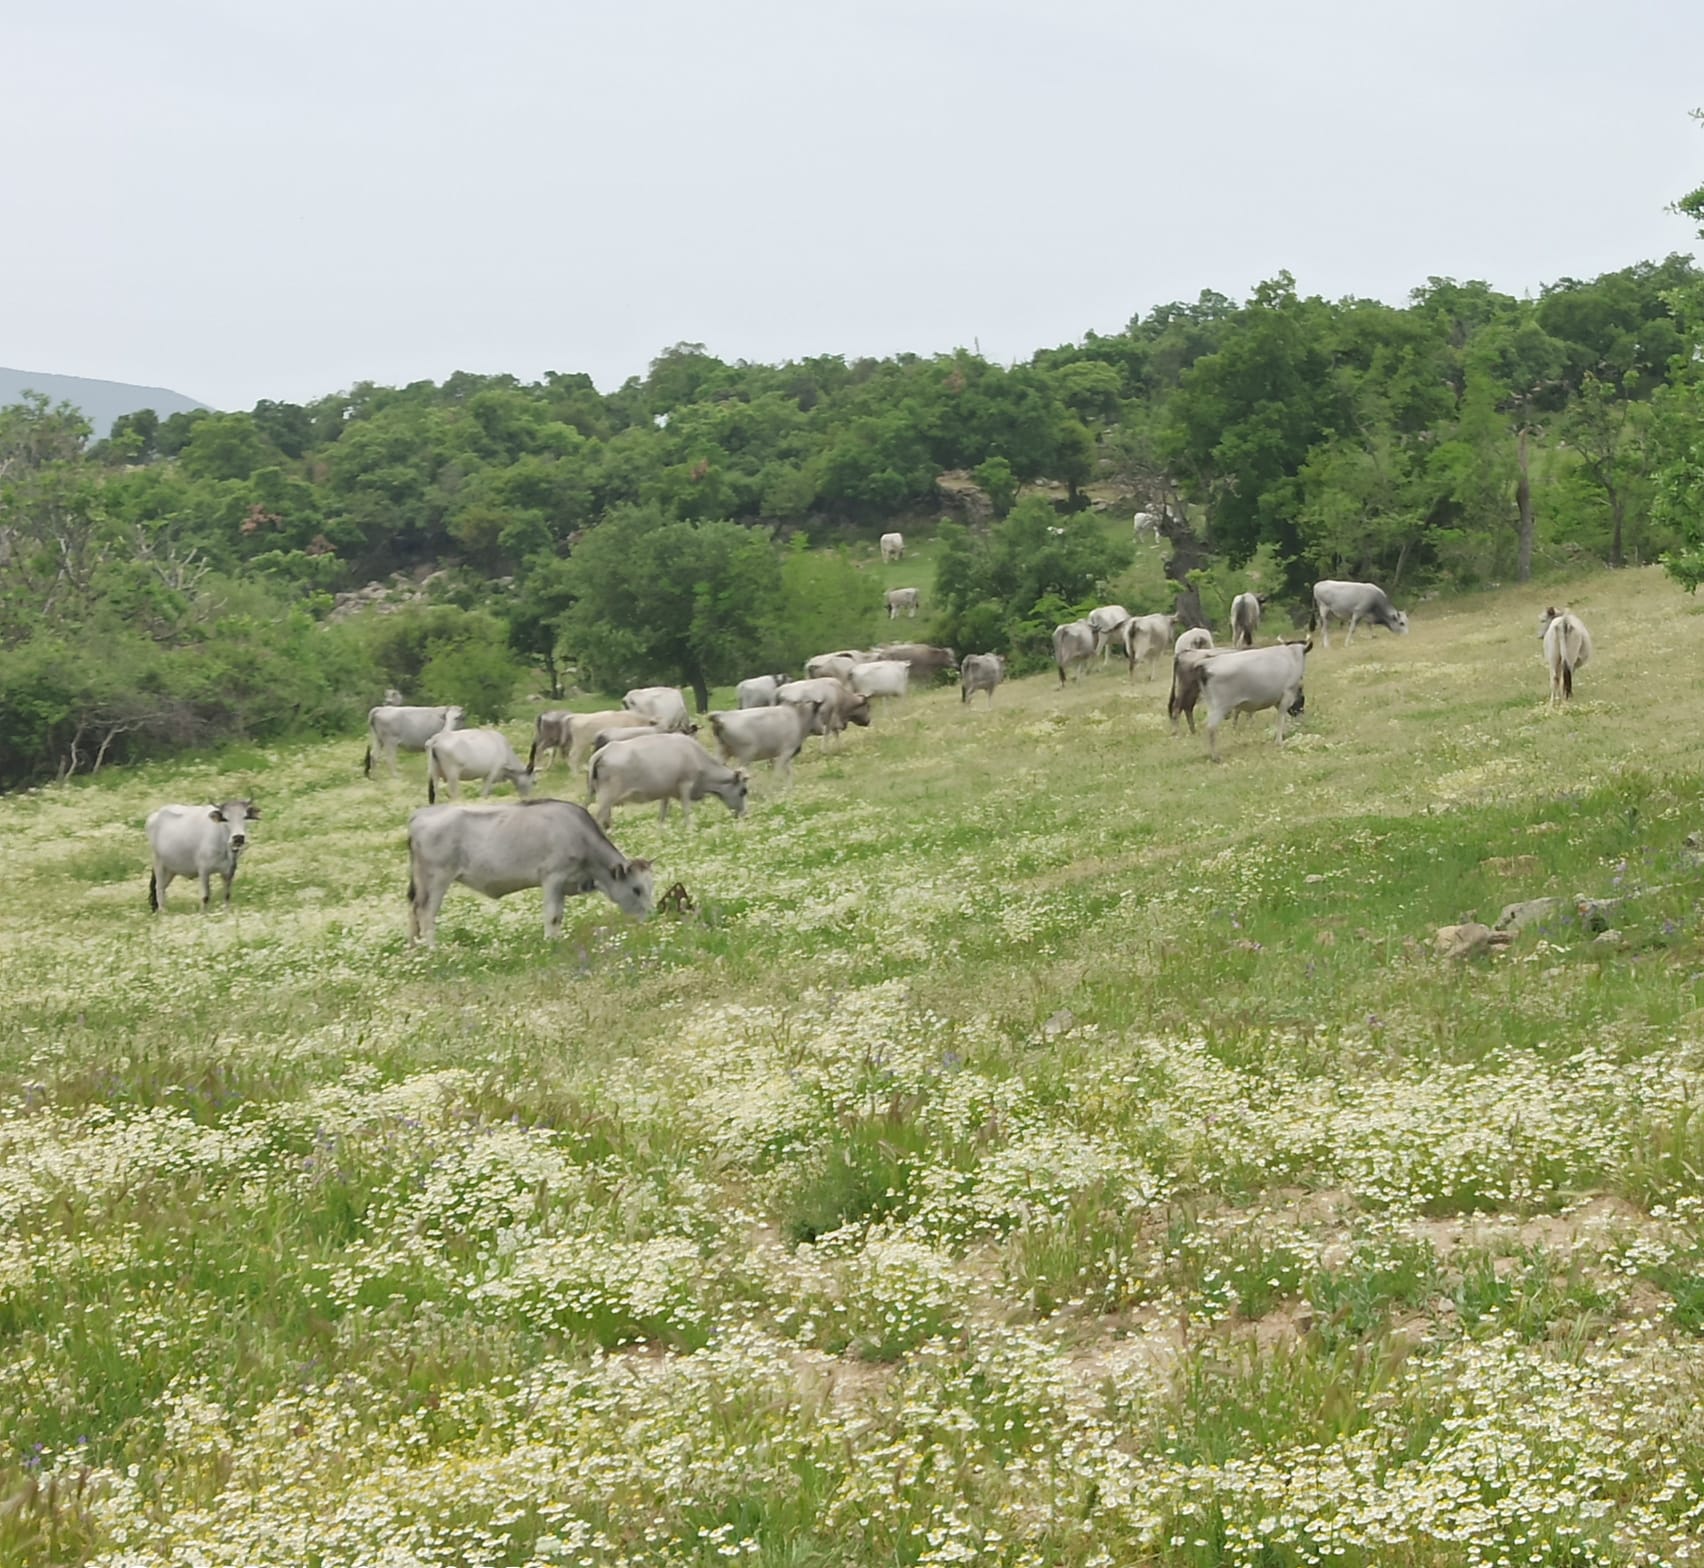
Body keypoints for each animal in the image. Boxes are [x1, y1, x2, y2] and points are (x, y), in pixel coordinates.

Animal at [408, 801, 654, 947]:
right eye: (636, 889)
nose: (652, 916)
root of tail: (419, 814)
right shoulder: (553, 877)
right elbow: (552, 914)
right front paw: (550, 943)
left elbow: (559, 916)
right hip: (437, 878)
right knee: (426, 912)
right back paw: (434, 949)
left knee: (413, 909)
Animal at [589, 736, 749, 831]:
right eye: (743, 791)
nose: (745, 815)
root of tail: (603, 751)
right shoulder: (685, 785)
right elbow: (687, 810)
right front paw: (690, 829)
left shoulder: (666, 792)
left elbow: (662, 813)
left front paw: (660, 831)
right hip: (607, 795)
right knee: (599, 817)